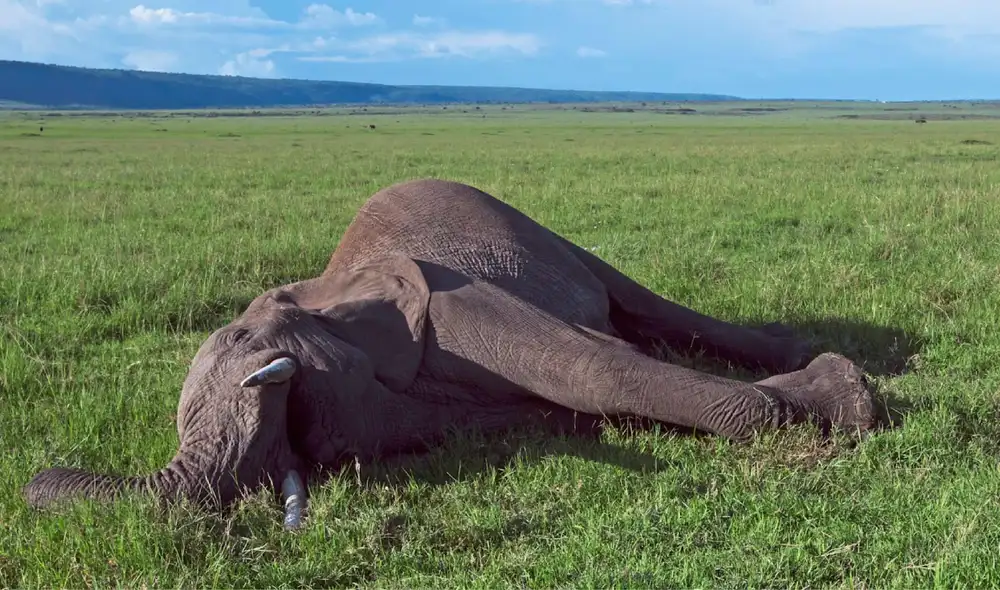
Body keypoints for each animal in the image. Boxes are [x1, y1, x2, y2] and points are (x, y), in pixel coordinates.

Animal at [24, 178, 877, 528]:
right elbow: (563, 401)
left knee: (632, 300)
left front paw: (847, 400)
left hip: (537, 228)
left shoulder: (451, 302)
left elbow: (590, 368)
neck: (329, 288)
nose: (32, 479)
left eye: (265, 364)